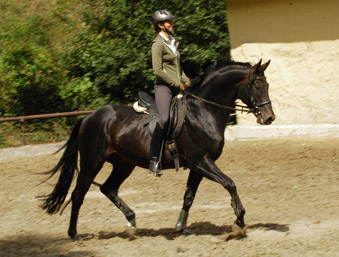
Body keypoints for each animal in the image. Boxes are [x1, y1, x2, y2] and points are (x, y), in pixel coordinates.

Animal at [42, 59, 276, 239]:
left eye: (267, 85)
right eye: (257, 86)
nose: (269, 118)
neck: (203, 111)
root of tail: (89, 117)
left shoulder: (198, 165)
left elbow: (189, 196)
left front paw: (181, 228)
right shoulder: (200, 160)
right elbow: (230, 183)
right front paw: (239, 219)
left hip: (123, 164)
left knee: (108, 189)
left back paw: (132, 223)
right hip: (92, 163)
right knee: (78, 193)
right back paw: (74, 234)